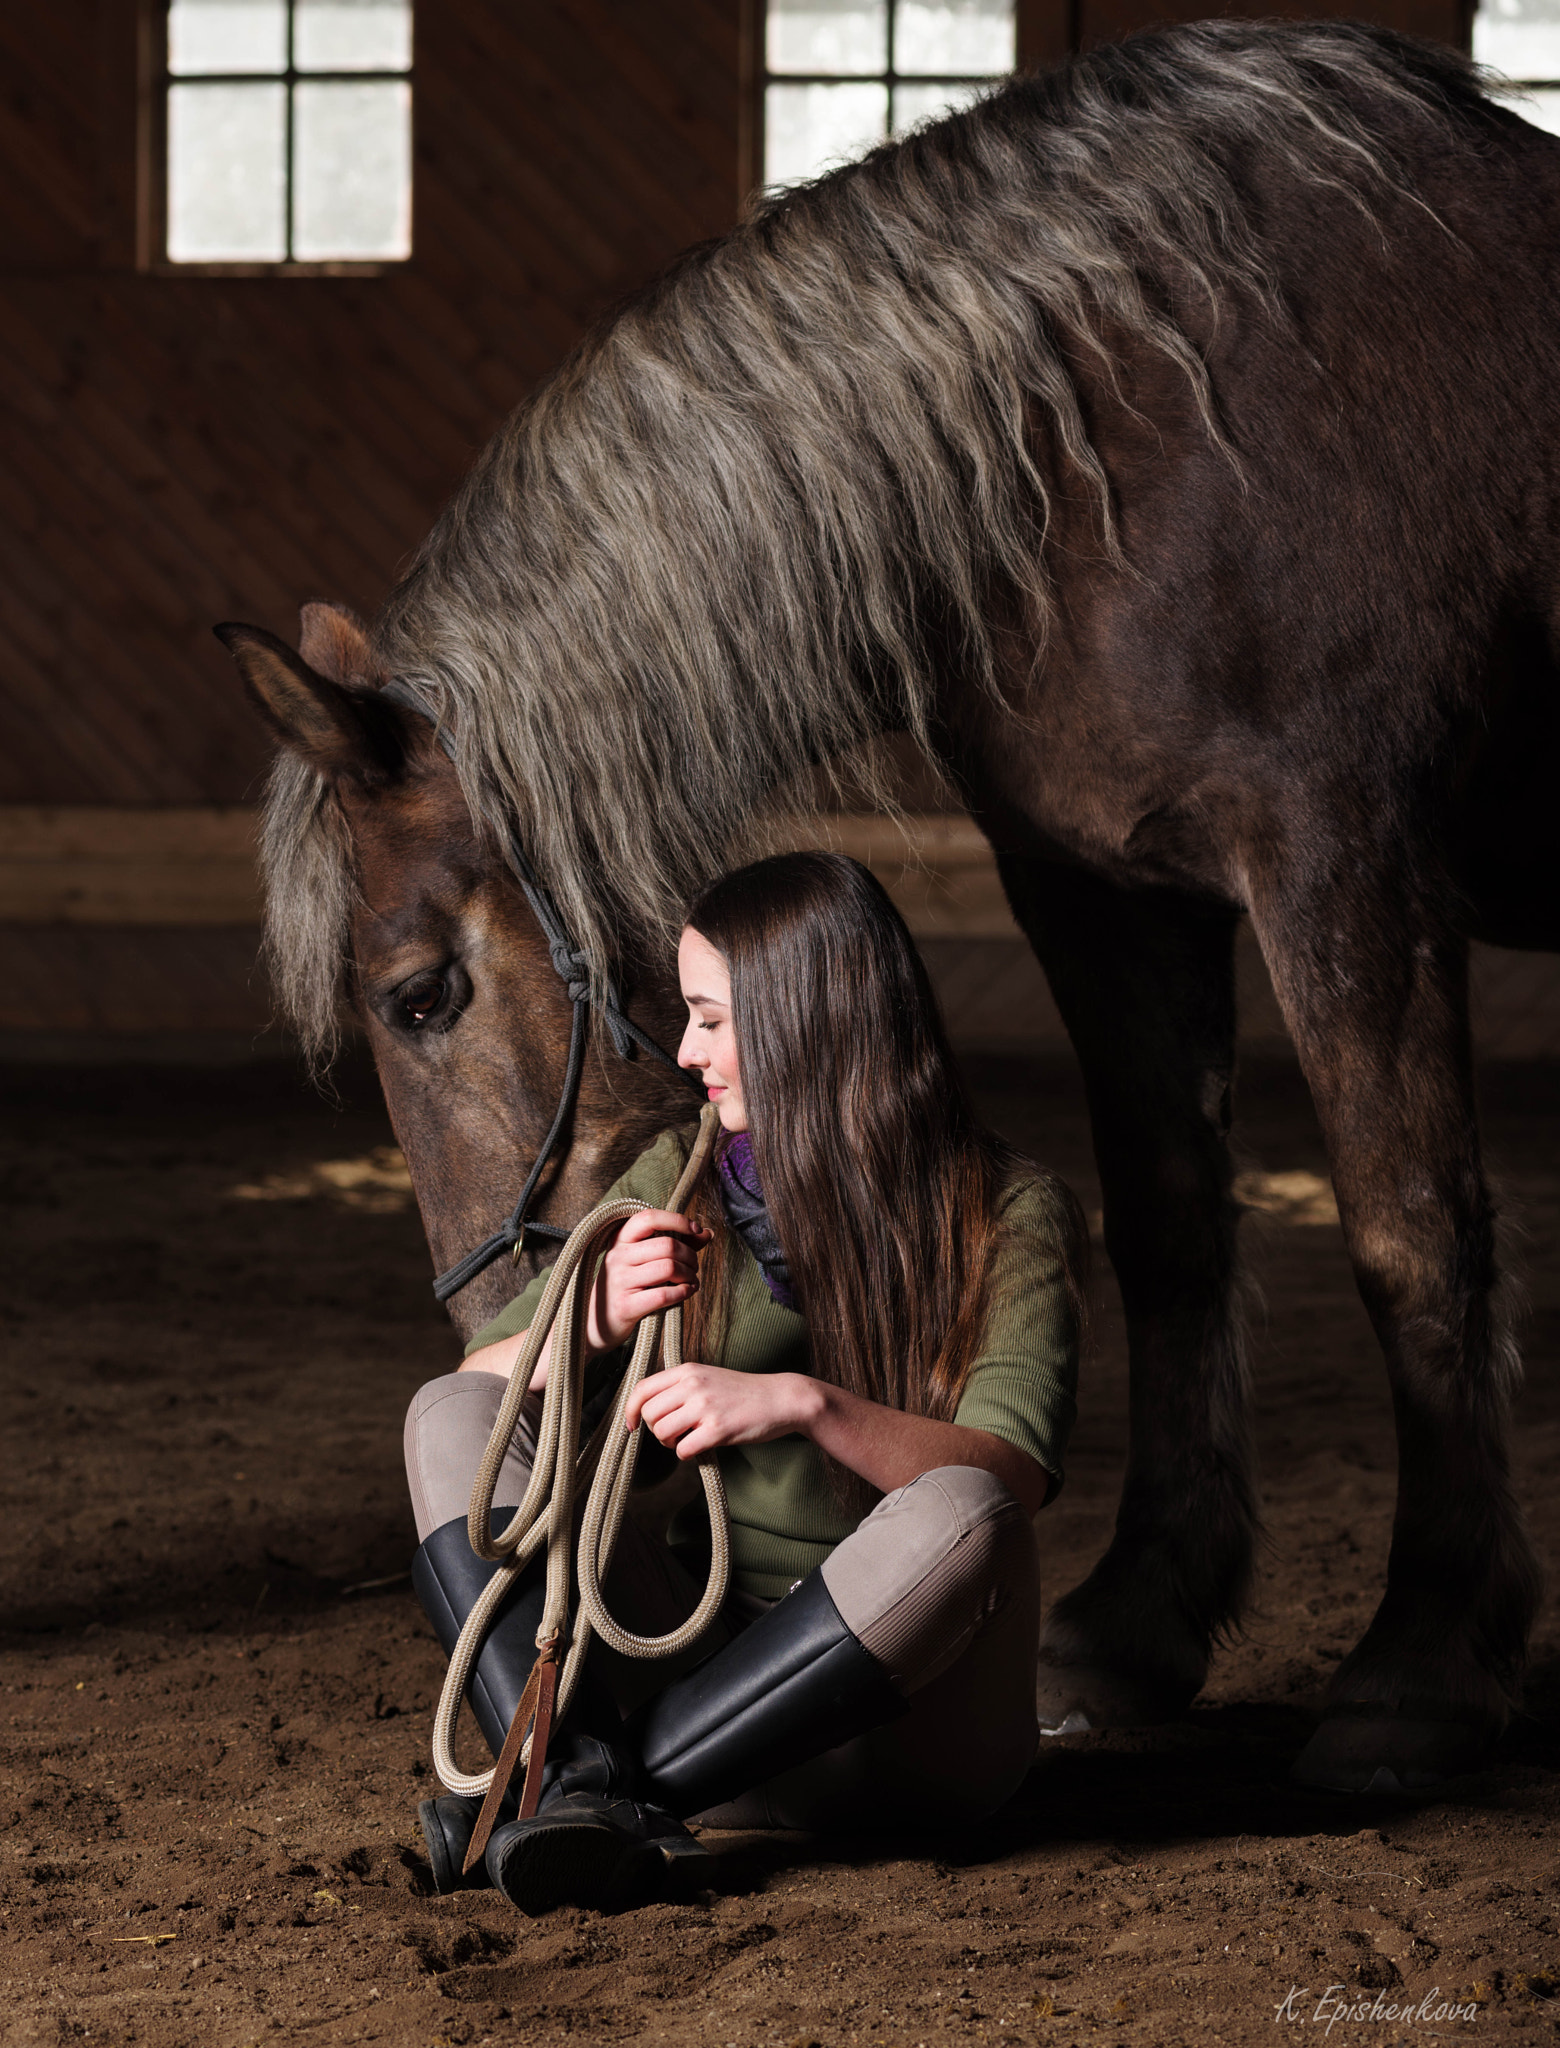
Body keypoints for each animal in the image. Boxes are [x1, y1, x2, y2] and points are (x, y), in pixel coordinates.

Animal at [219, 19, 1555, 1794]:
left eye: (420, 994)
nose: (495, 1339)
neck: (1132, 433)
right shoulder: (1108, 893)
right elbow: (1173, 1229)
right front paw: (1138, 1621)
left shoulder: (1344, 857)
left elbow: (1411, 1234)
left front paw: (1423, 1663)